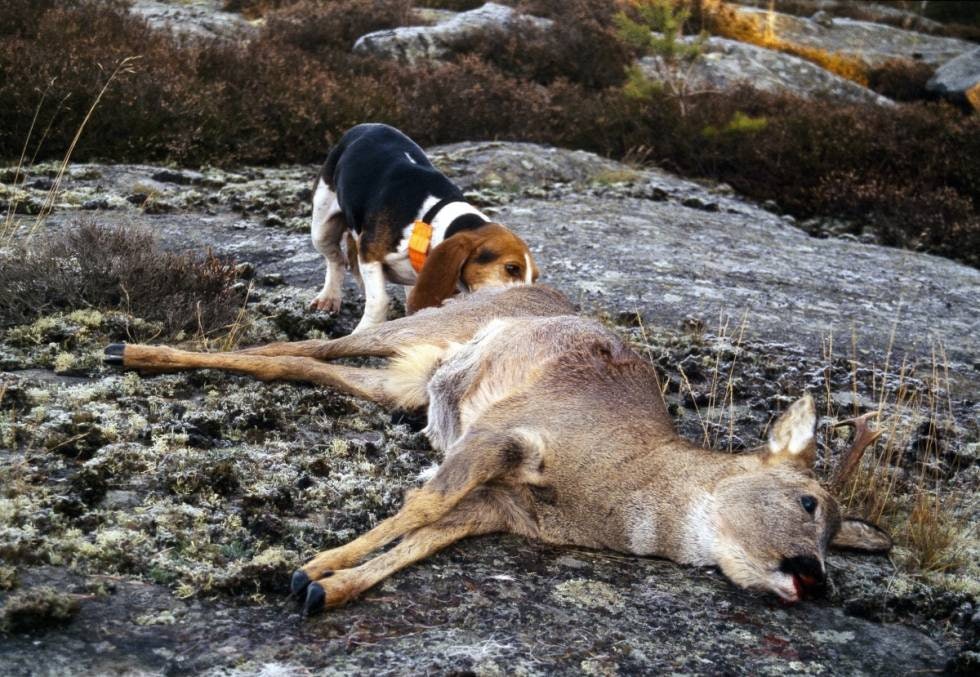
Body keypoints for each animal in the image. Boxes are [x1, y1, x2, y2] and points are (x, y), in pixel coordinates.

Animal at [105, 282, 888, 616]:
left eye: (838, 540)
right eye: (808, 500)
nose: (815, 577)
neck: (622, 489)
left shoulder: (504, 509)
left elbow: (429, 536)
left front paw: (325, 585)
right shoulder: (507, 435)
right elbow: (423, 503)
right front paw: (318, 562)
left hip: (401, 387)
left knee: (298, 366)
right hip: (419, 328)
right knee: (296, 345)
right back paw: (128, 349)